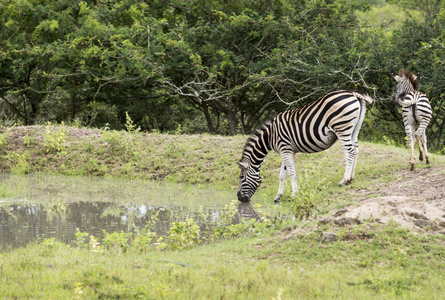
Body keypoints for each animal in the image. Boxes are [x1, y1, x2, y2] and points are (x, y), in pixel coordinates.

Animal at [236, 88, 372, 202]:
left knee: (349, 152)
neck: (270, 136)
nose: (239, 198)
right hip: (354, 129)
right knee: (356, 150)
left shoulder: (285, 149)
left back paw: (344, 180)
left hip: (342, 128)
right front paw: (278, 196)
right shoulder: (285, 150)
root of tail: (353, 93)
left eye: (242, 178)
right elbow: (282, 175)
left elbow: (291, 173)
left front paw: (294, 195)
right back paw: (351, 178)